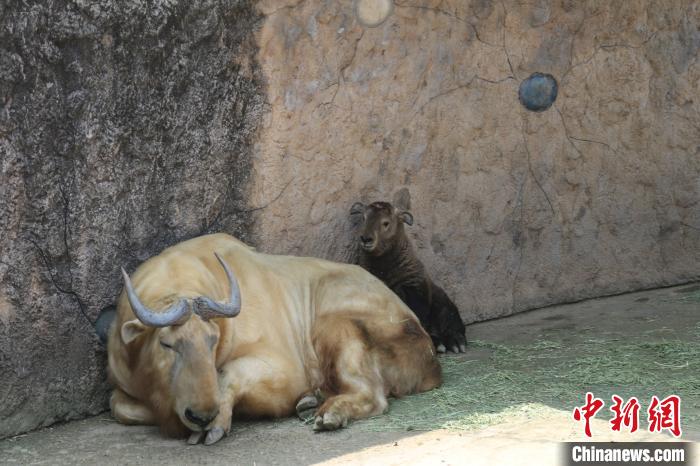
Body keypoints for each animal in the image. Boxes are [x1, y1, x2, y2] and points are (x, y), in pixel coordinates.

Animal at [348, 201, 468, 354]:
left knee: (452, 323)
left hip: (443, 305)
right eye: (363, 218)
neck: (385, 268)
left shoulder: (414, 291)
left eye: (386, 223)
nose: (366, 239)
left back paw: (454, 342)